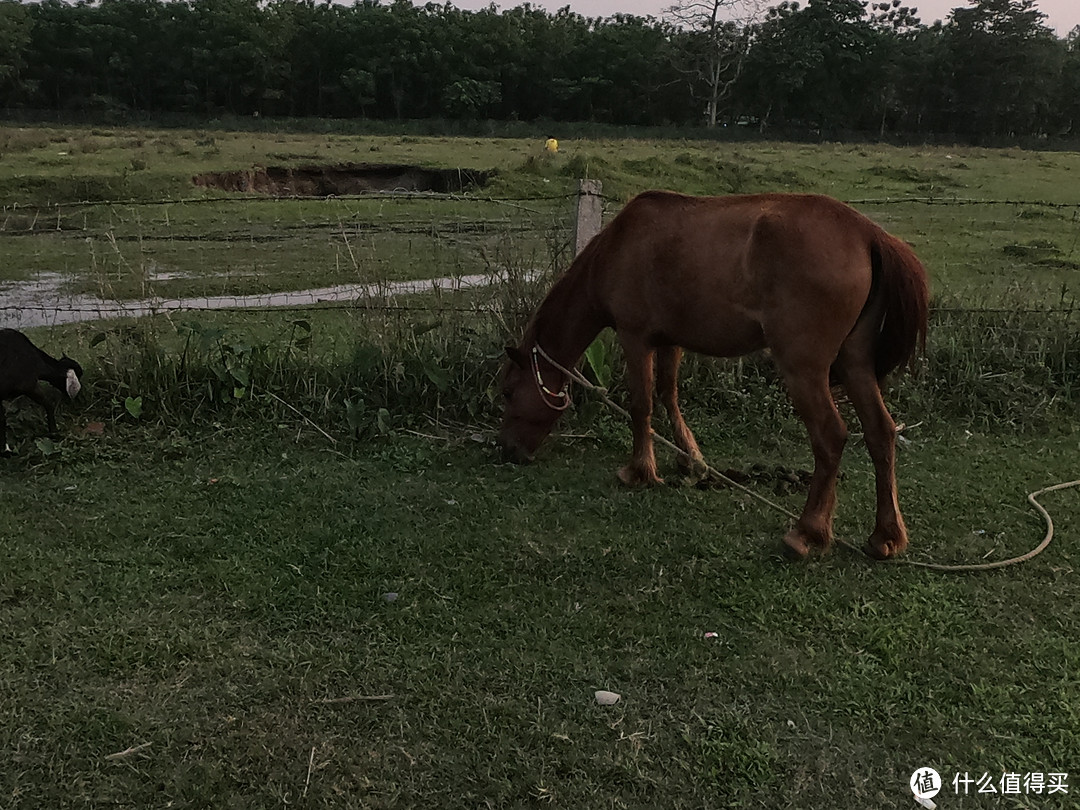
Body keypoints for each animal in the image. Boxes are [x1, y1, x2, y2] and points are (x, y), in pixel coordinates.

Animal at [496, 190, 928, 561]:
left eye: (508, 392)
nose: (508, 451)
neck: (619, 247)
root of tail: (867, 233)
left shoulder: (635, 339)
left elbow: (641, 405)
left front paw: (639, 471)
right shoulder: (670, 341)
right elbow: (668, 396)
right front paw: (690, 459)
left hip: (804, 370)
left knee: (830, 437)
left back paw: (807, 532)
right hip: (855, 364)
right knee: (880, 432)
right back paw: (885, 536)